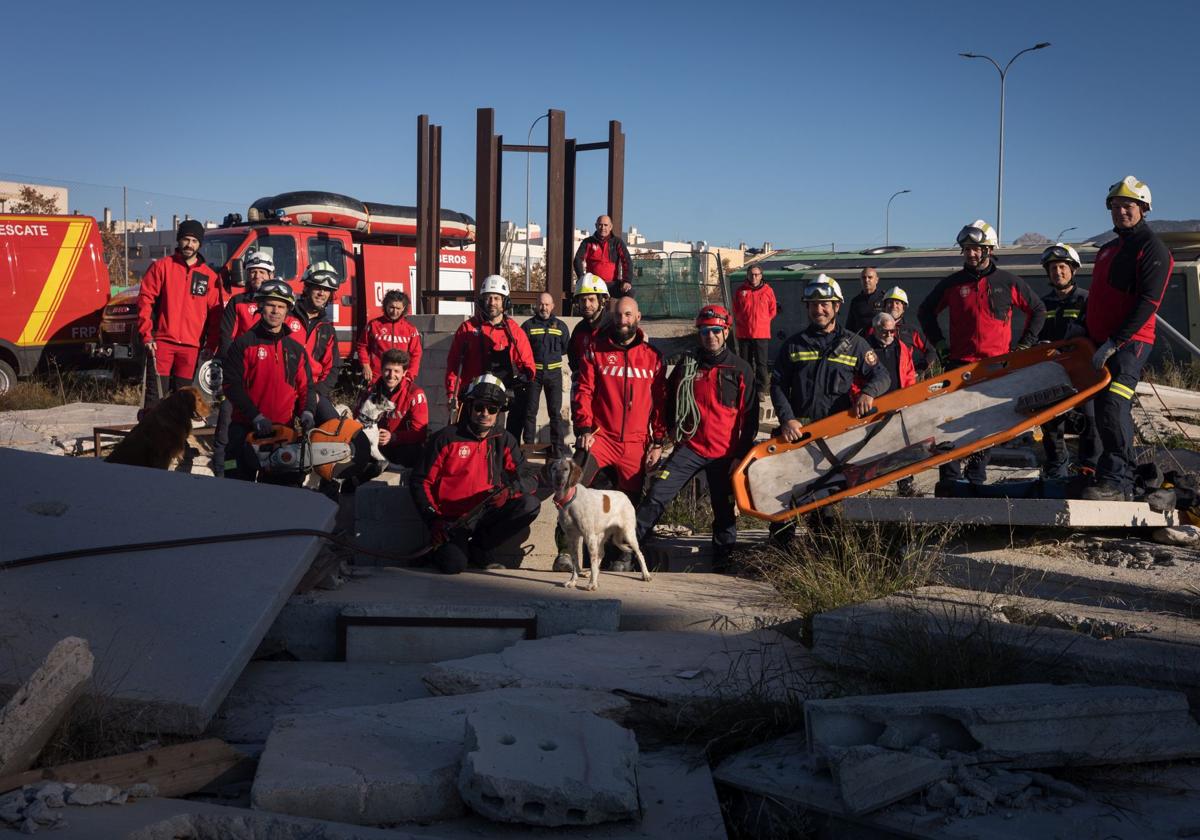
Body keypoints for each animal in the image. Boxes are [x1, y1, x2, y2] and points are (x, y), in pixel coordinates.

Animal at [549, 458, 652, 590]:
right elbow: (576, 562)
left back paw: (646, 575)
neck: (570, 500)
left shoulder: (589, 536)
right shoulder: (572, 538)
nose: (558, 480)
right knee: (601, 554)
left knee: (639, 554)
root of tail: (625, 496)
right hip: (600, 536)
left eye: (566, 469)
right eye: (554, 469)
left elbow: (592, 562)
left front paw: (592, 584)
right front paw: (573, 581)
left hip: (628, 534)